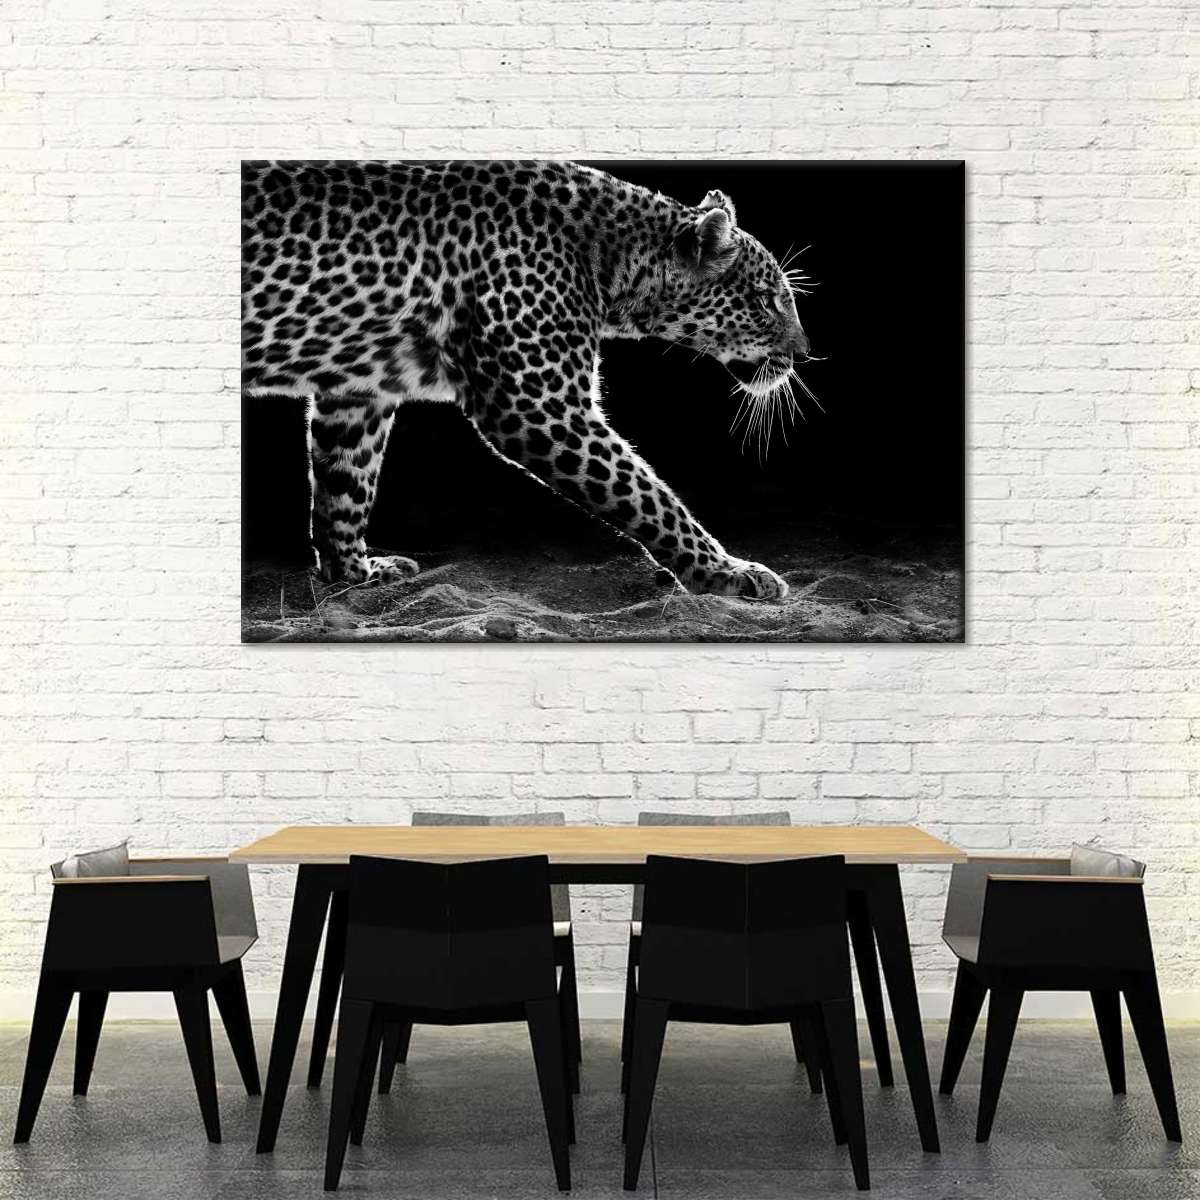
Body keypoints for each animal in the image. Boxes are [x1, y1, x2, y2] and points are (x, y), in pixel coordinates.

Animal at [241, 160, 813, 600]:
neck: (614, 261)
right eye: (767, 300)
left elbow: (345, 484)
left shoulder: (360, 390)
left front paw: (354, 575)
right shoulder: (540, 405)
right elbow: (648, 496)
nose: (803, 354)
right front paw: (727, 573)